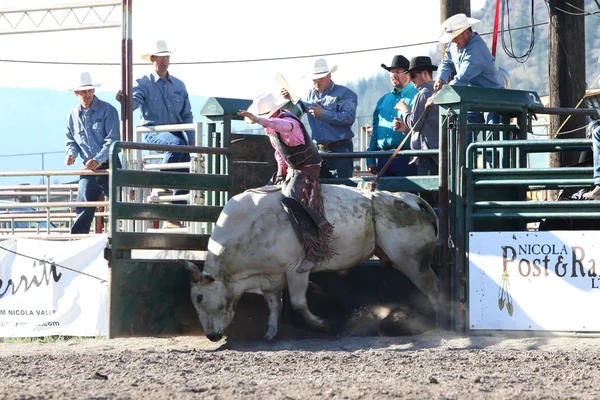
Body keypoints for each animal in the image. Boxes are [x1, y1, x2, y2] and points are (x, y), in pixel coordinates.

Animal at [180, 184, 438, 340]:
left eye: (200, 298)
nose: (212, 336)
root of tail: (411, 199)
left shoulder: (296, 270)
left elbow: (298, 303)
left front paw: (322, 325)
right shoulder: (270, 277)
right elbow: (273, 306)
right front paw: (270, 334)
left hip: (412, 260)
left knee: (431, 286)